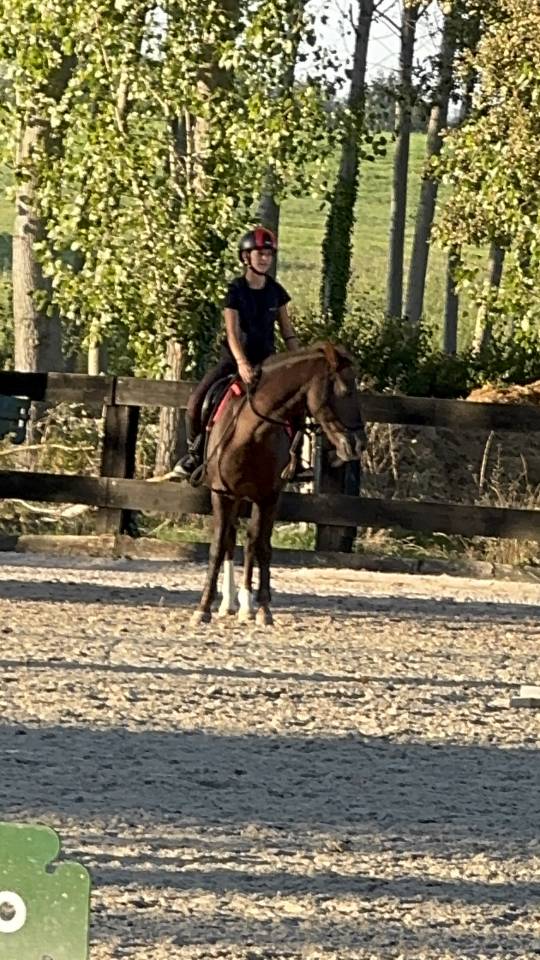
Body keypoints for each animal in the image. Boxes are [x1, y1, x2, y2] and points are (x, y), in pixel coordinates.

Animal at [191, 341, 365, 626]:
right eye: (345, 390)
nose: (358, 444)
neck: (250, 433)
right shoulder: (222, 494)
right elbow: (217, 547)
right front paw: (202, 608)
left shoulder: (268, 498)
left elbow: (260, 547)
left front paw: (261, 609)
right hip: (233, 496)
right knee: (229, 539)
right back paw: (228, 603)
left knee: (250, 541)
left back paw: (244, 605)